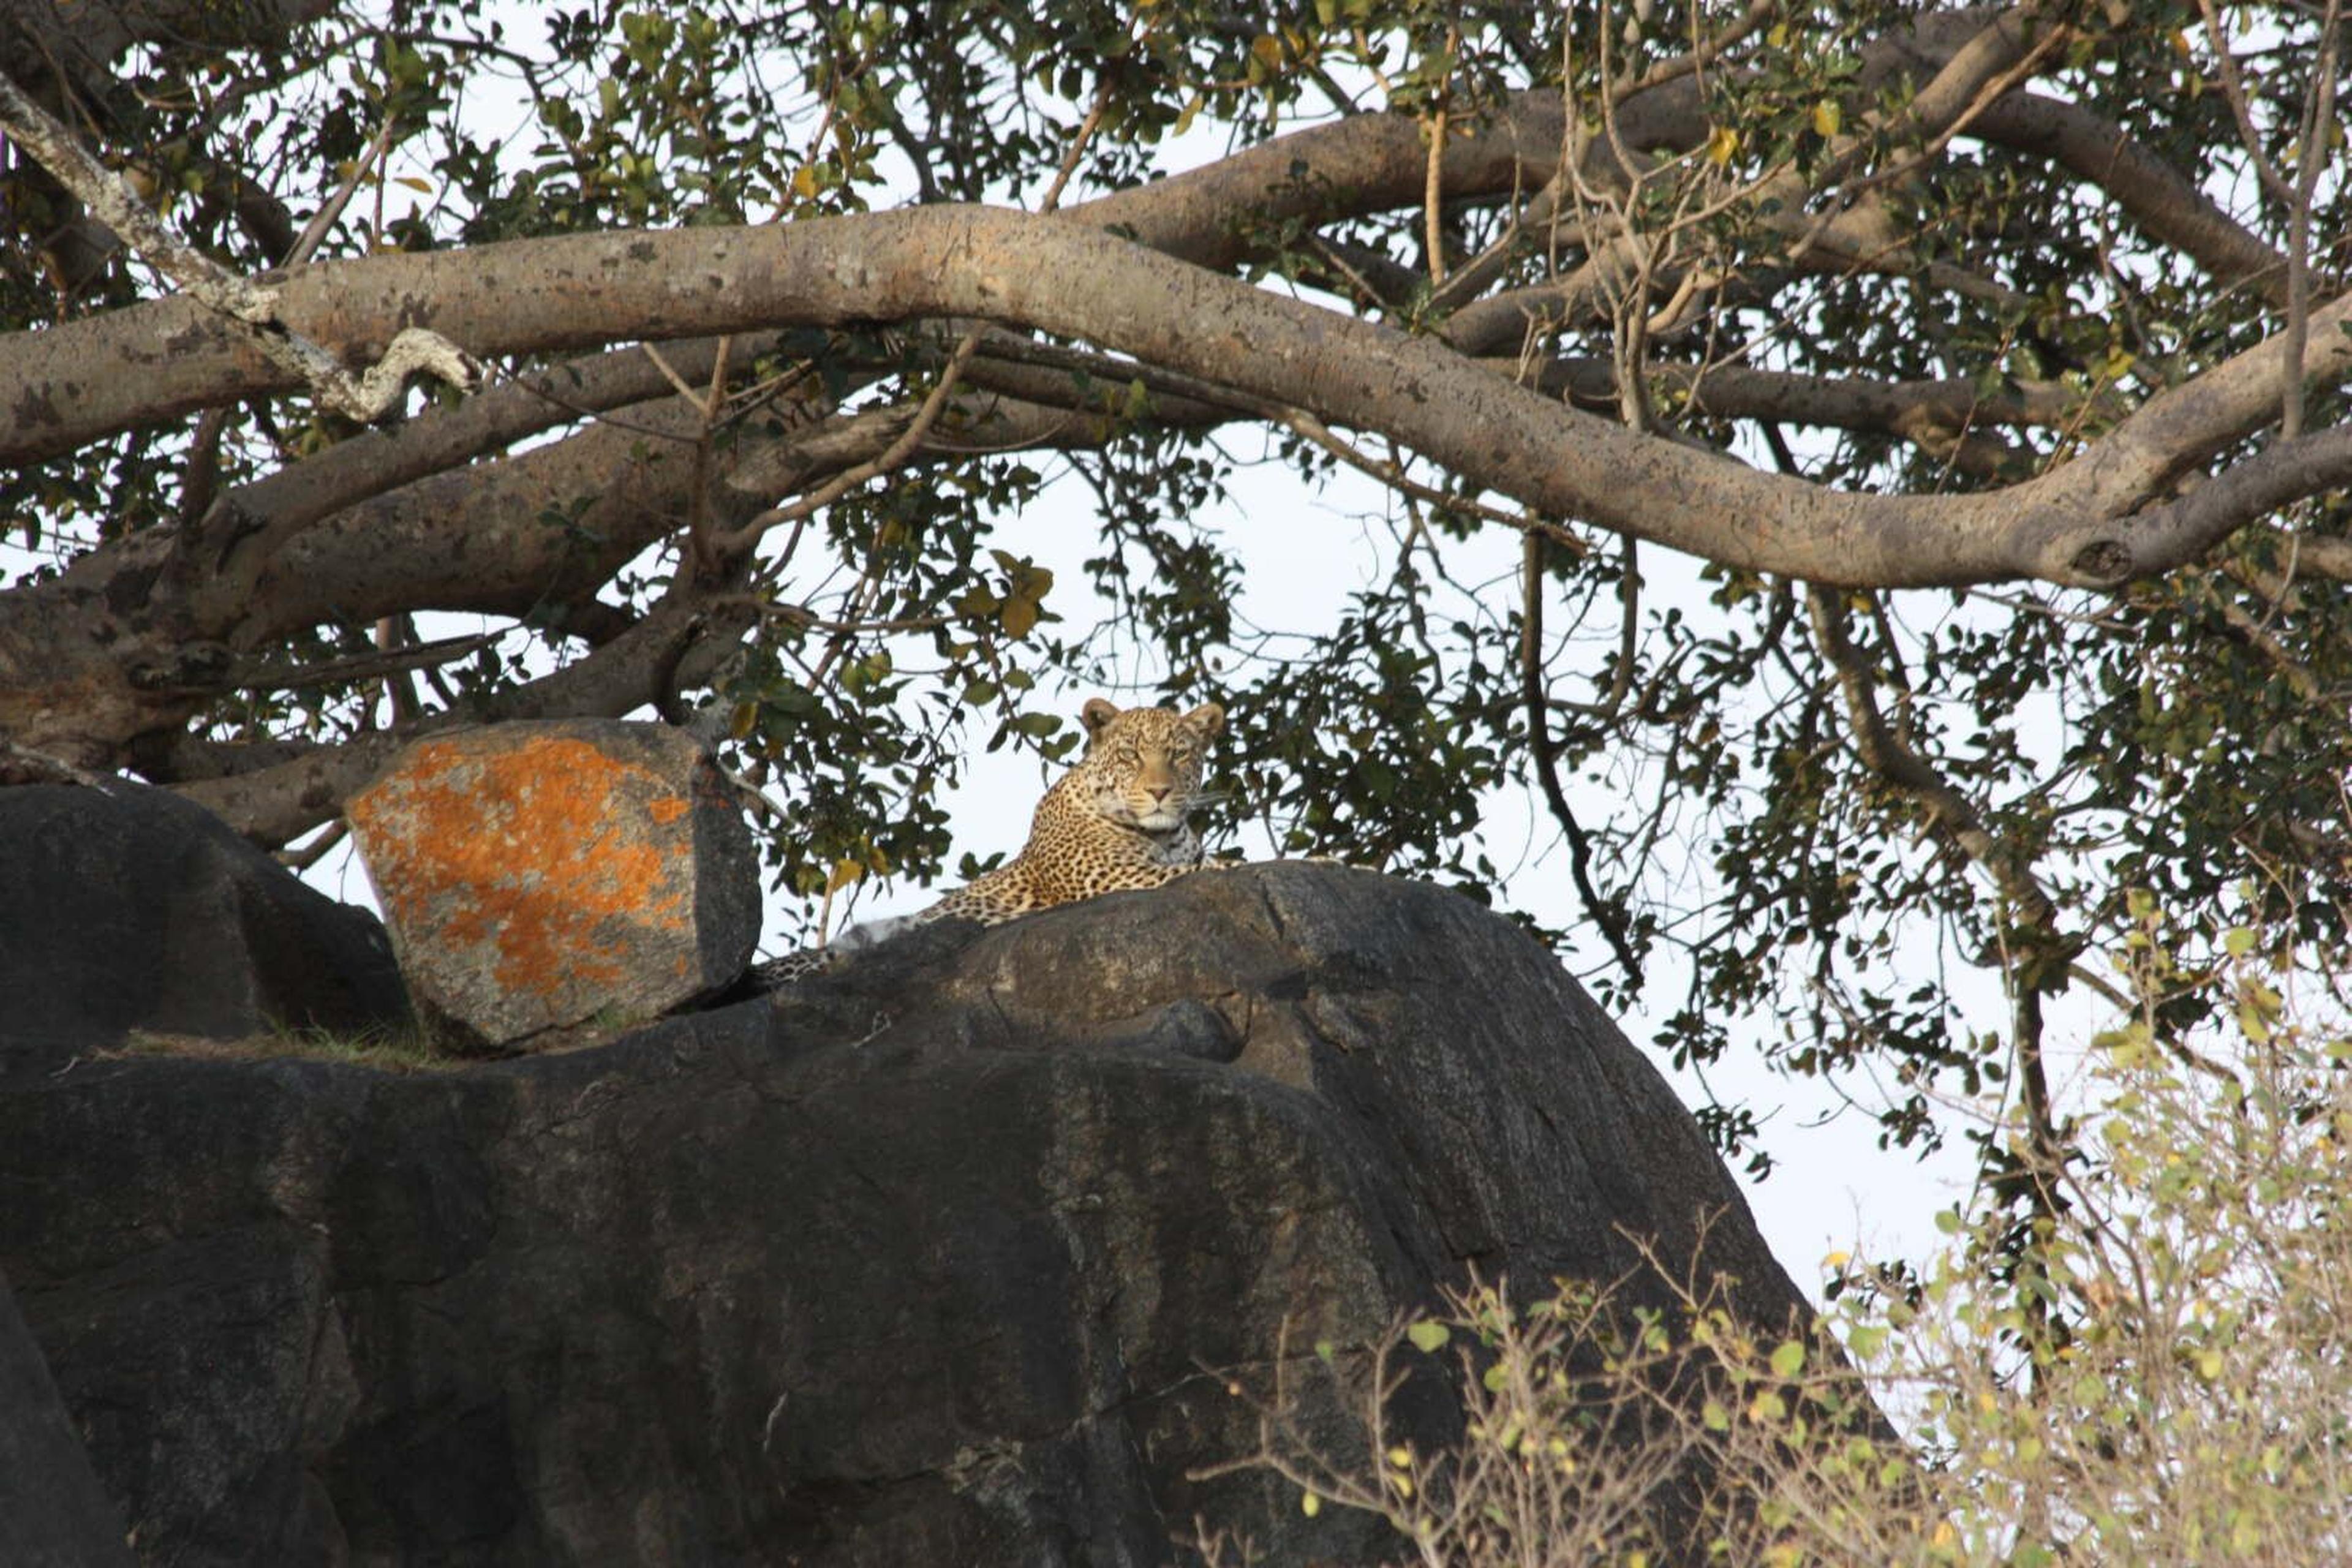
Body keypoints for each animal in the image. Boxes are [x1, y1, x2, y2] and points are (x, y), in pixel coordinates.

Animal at [757, 696, 1232, 987]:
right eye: (1130, 755)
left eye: (1179, 753)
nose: (1159, 792)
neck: (1165, 835)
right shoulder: (1118, 879)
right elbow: (1217, 867)